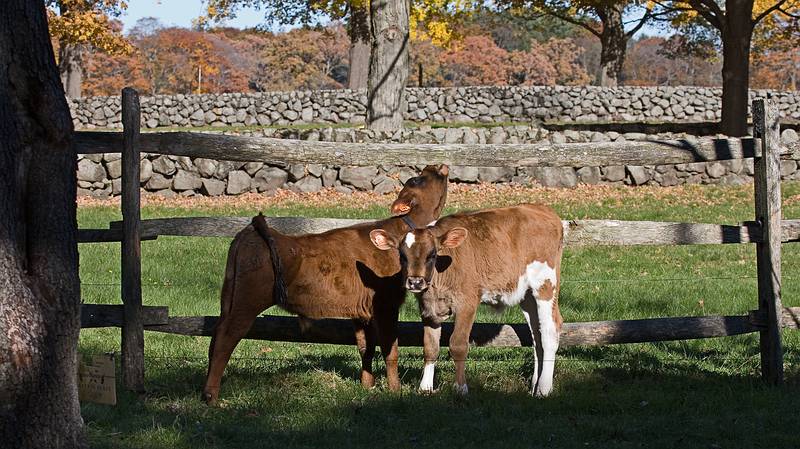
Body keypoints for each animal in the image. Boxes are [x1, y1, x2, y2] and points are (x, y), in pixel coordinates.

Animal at [202, 164, 450, 402]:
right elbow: (390, 349)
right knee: (225, 338)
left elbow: (365, 348)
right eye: (416, 179)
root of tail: (254, 229)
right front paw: (395, 389)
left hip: (229, 299)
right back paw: (212, 397)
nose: (437, 165)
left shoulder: (362, 312)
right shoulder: (386, 305)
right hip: (246, 302)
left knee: (216, 336)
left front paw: (367, 386)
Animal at [370, 203, 564, 396]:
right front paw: (425, 388)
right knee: (536, 336)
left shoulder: (467, 303)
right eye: (402, 256)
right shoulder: (428, 309)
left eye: (432, 255)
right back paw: (534, 387)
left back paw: (544, 389)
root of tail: (543, 209)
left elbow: (458, 344)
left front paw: (460, 388)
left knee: (550, 330)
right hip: (527, 295)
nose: (415, 282)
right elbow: (430, 347)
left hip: (545, 285)